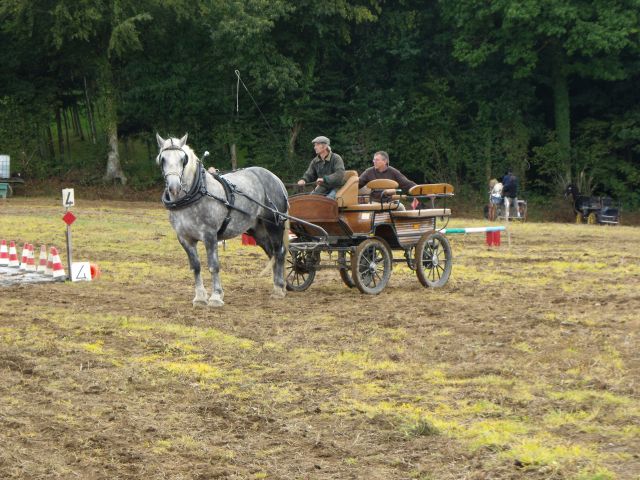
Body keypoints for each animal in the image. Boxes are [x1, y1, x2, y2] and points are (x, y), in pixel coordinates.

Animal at [158, 134, 290, 308]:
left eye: (183, 159)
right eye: (162, 159)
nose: (174, 187)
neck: (196, 194)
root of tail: (275, 178)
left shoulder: (209, 235)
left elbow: (213, 266)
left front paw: (215, 297)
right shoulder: (184, 238)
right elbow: (196, 267)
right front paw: (199, 298)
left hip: (273, 224)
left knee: (279, 252)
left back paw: (279, 289)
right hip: (257, 229)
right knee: (271, 253)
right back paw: (278, 285)